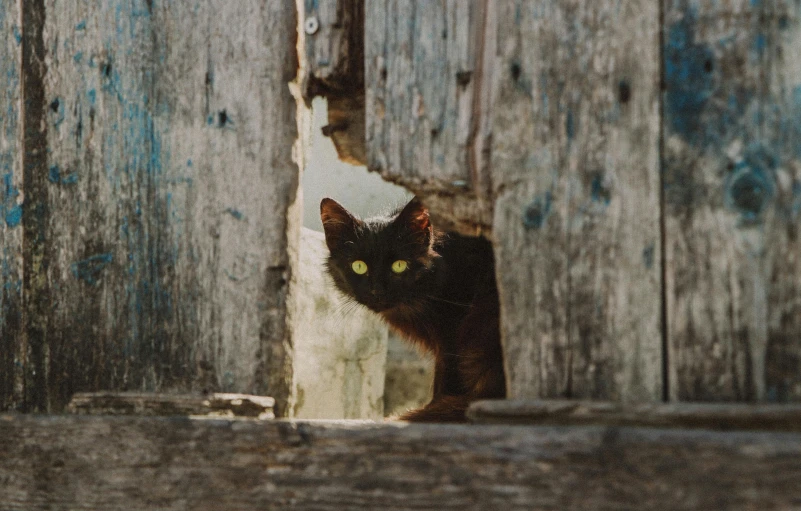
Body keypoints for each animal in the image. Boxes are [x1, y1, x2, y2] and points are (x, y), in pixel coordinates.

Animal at [320, 198, 504, 422]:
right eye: (359, 266)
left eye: (399, 265)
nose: (377, 291)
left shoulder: (452, 330)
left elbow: (446, 378)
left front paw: (432, 408)